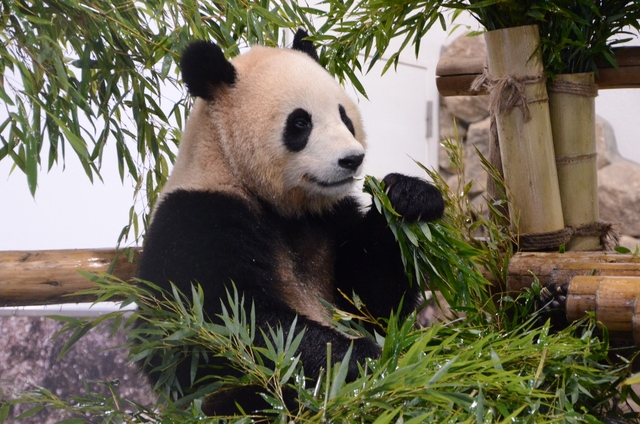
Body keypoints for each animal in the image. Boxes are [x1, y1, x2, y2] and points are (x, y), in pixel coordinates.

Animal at [138, 30, 442, 418]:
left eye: (344, 117)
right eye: (300, 123)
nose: (352, 159)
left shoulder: (331, 219)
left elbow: (374, 303)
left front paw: (409, 195)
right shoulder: (197, 219)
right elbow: (227, 325)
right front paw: (362, 358)